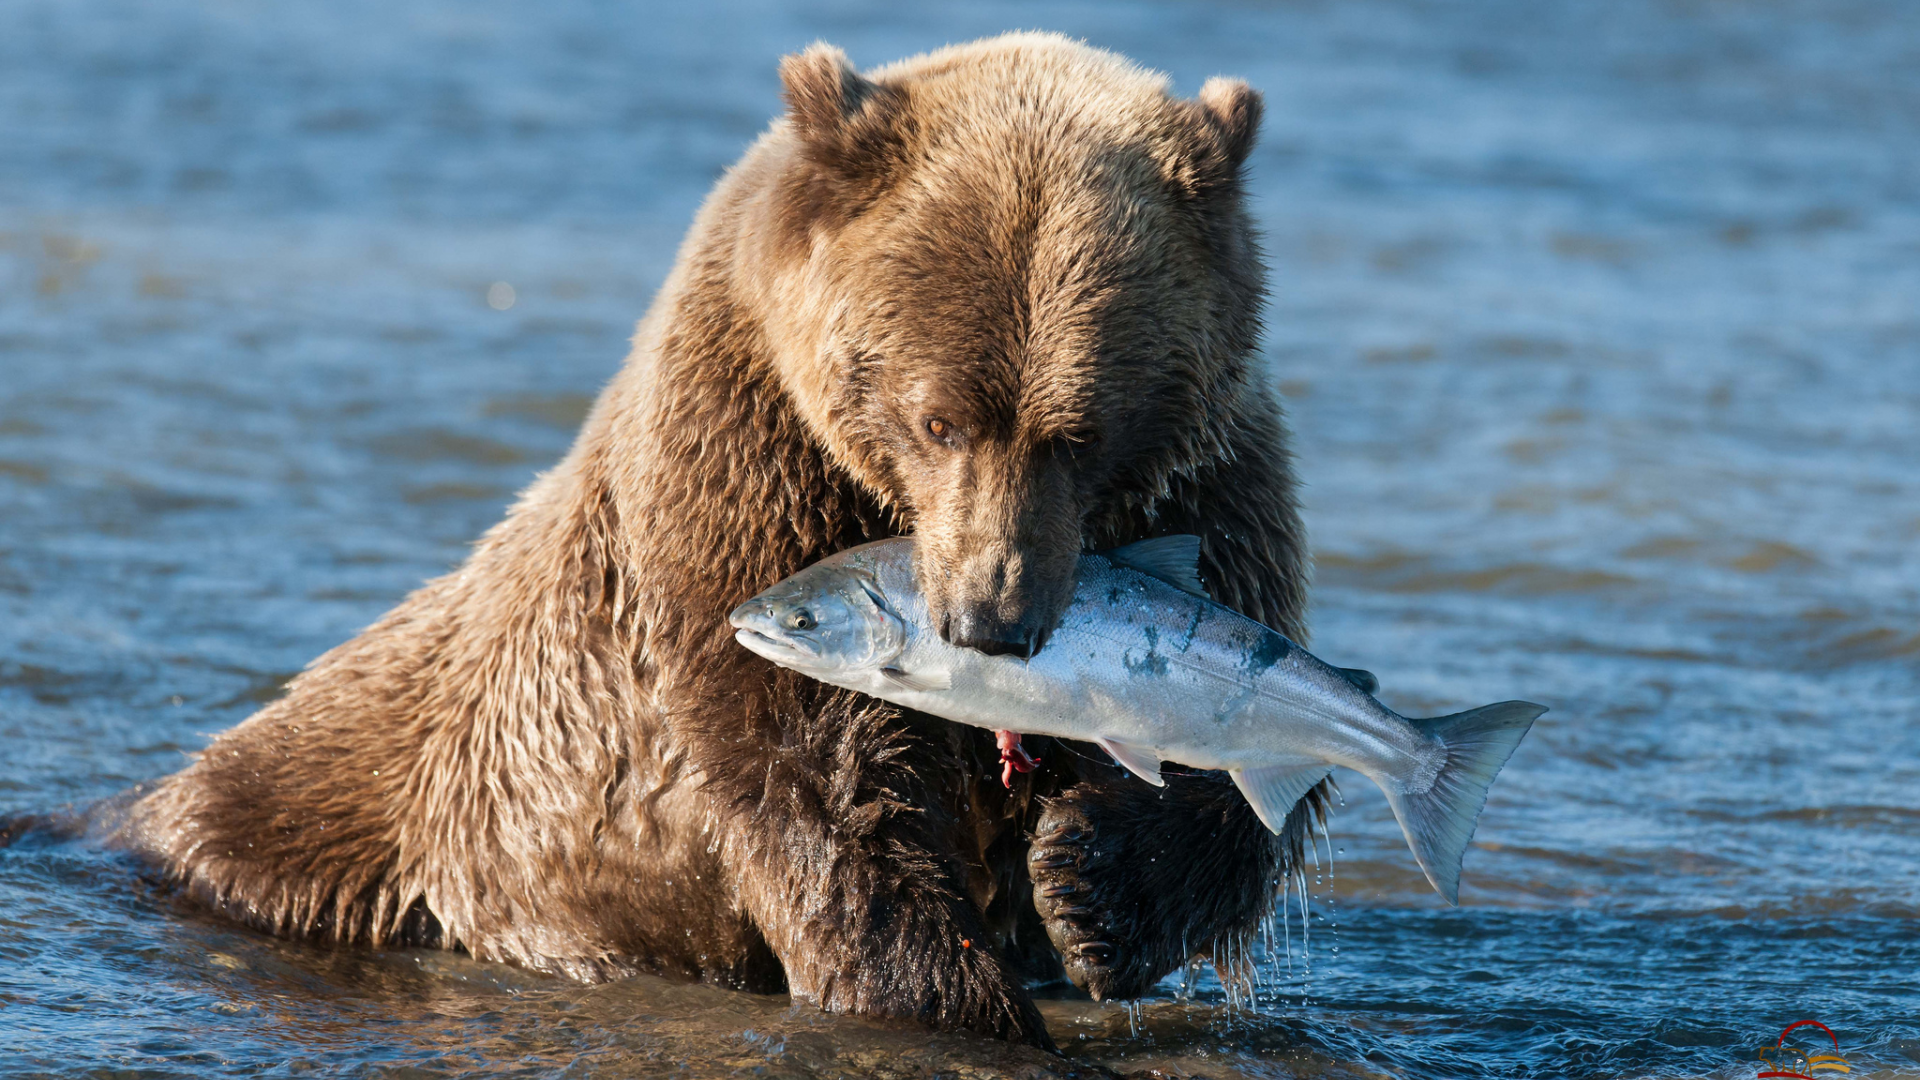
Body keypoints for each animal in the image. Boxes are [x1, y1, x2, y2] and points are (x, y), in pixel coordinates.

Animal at [123, 31, 1320, 1045]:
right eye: (939, 418)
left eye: (1082, 433)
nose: (993, 619)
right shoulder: (747, 470)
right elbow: (814, 767)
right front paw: (949, 993)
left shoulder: (1210, 488)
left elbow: (1246, 741)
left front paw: (1089, 885)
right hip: (371, 801)